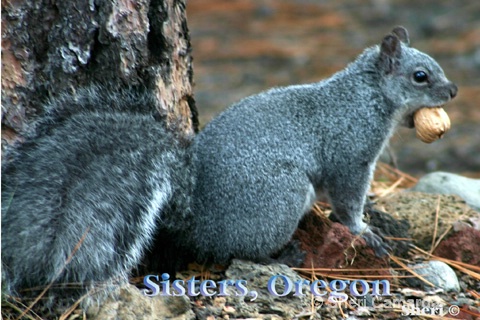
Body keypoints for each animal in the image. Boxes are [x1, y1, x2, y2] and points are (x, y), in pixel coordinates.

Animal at [0, 26, 458, 304]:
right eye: (420, 76)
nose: (453, 91)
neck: (366, 96)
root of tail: (193, 215)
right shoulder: (351, 153)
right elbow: (347, 199)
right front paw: (363, 230)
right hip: (280, 197)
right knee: (240, 250)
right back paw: (283, 255)